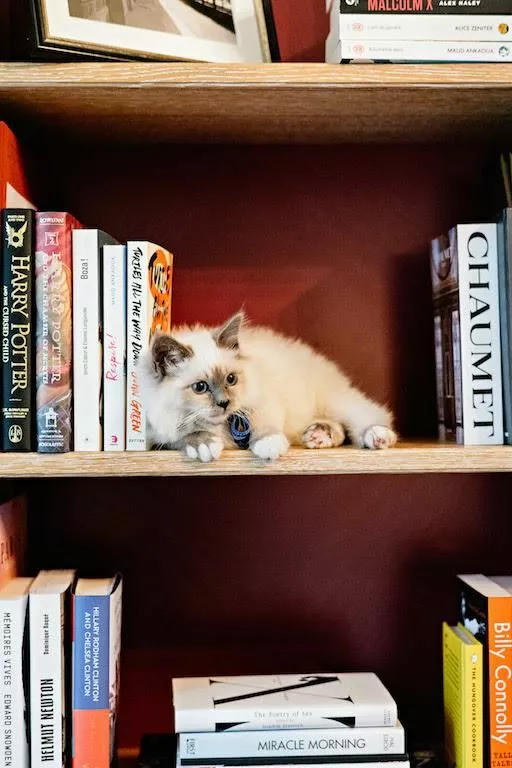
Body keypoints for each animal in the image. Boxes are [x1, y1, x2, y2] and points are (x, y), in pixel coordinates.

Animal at [138, 310, 397, 462]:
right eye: (200, 387)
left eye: (231, 380)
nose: (224, 403)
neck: (222, 425)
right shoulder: (156, 432)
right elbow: (183, 436)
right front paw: (204, 446)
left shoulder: (263, 401)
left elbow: (264, 427)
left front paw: (268, 447)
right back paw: (317, 435)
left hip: (334, 400)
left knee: (368, 415)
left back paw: (377, 436)